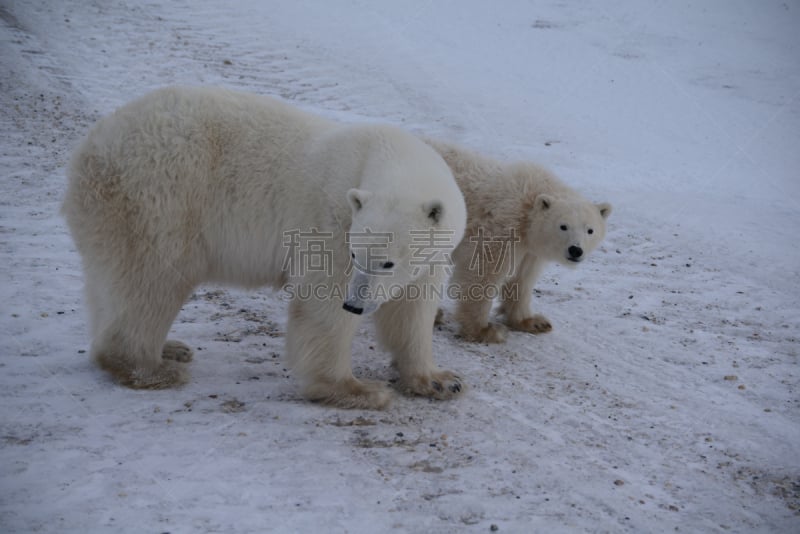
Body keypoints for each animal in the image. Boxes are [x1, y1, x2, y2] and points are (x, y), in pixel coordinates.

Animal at [64, 87, 468, 410]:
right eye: (358, 255)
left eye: (387, 263)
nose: (355, 304)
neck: (382, 153)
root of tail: (91, 149)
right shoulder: (332, 223)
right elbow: (323, 303)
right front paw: (356, 389)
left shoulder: (430, 254)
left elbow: (412, 310)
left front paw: (440, 380)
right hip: (161, 196)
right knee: (151, 282)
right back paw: (152, 366)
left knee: (113, 283)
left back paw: (169, 348)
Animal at [428, 140, 608, 346]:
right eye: (563, 226)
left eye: (590, 230)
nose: (575, 250)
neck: (527, 208)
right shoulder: (501, 229)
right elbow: (482, 274)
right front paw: (485, 330)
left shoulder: (530, 249)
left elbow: (522, 278)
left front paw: (533, 322)